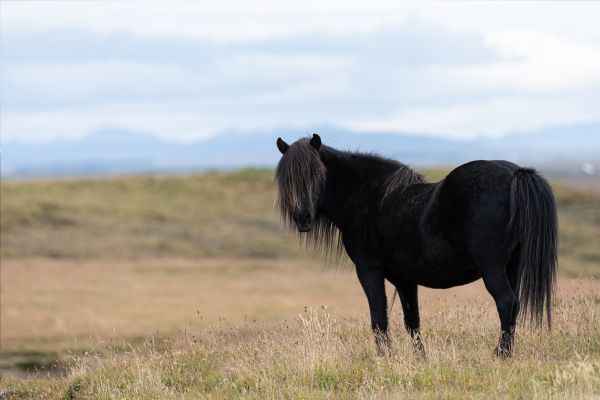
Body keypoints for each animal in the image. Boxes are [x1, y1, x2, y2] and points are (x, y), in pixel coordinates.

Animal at [276, 134, 556, 356]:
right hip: (513, 265)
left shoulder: (369, 270)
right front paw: (420, 359)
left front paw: (384, 359)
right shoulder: (405, 279)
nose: (302, 217)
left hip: (492, 266)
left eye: (318, 173)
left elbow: (379, 319)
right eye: (287, 179)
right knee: (513, 306)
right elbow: (412, 321)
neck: (368, 198)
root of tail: (516, 173)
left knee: (506, 302)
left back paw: (501, 354)